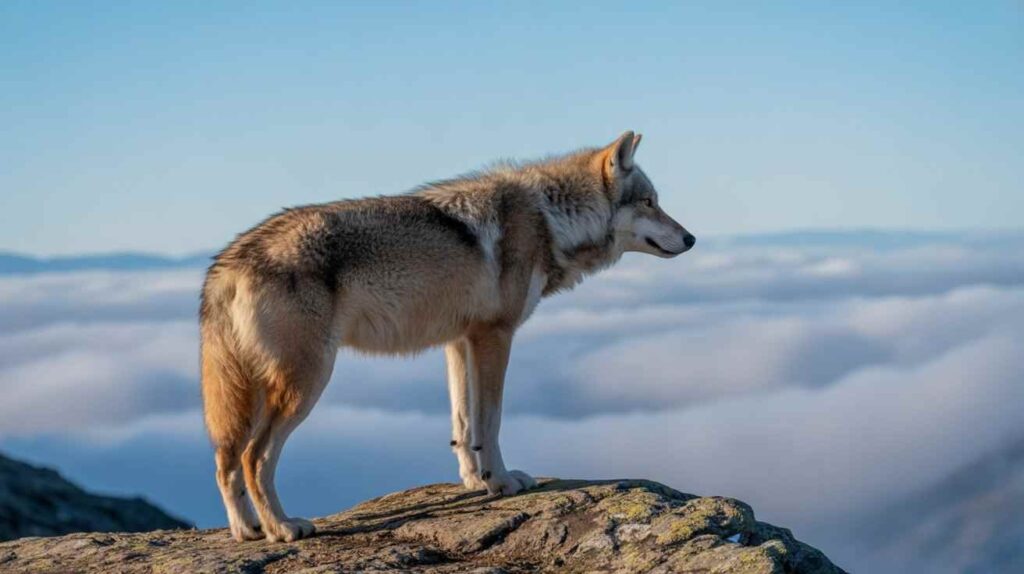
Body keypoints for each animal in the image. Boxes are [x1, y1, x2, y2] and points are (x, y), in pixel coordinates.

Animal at [200, 131, 695, 542]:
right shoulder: (495, 336)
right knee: (253, 457)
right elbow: (490, 419)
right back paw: (282, 528)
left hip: (252, 392)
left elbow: (463, 422)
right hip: (306, 382)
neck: (548, 217)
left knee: (225, 460)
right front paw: (502, 482)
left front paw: (476, 481)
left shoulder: (460, 342)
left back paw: (247, 531)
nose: (691, 238)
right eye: (650, 202)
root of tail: (227, 263)